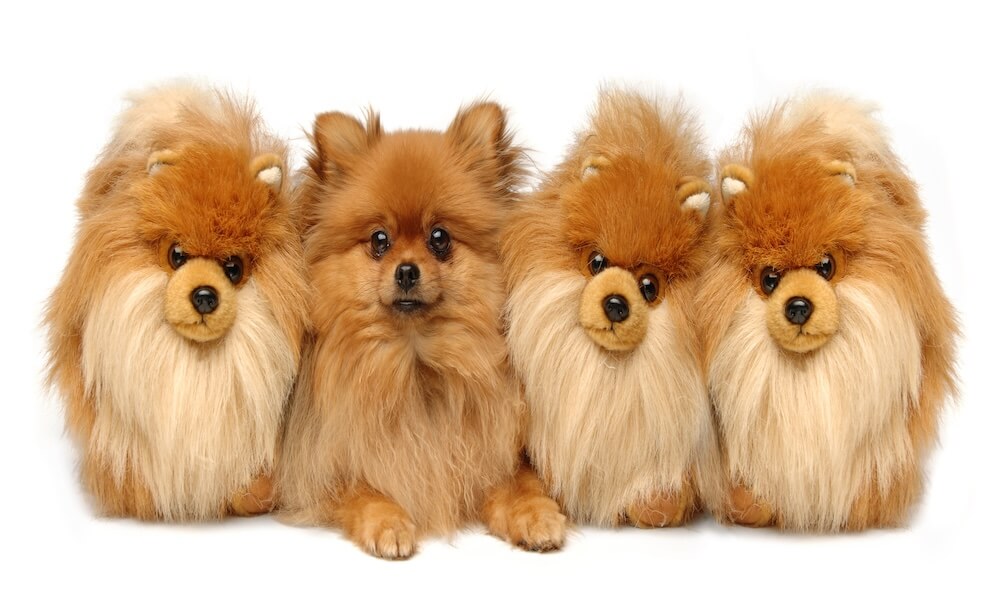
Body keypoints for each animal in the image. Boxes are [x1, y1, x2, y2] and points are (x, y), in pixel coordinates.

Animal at [278, 101, 568, 556]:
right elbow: (361, 490)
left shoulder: (494, 455)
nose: (407, 270)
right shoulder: (320, 469)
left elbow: (521, 483)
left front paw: (536, 515)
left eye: (439, 237)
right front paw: (388, 522)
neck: (415, 361)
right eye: (379, 239)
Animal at [700, 94, 956, 528]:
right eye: (770, 279)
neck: (807, 376)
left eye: (826, 266)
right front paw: (754, 504)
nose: (799, 306)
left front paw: (865, 505)